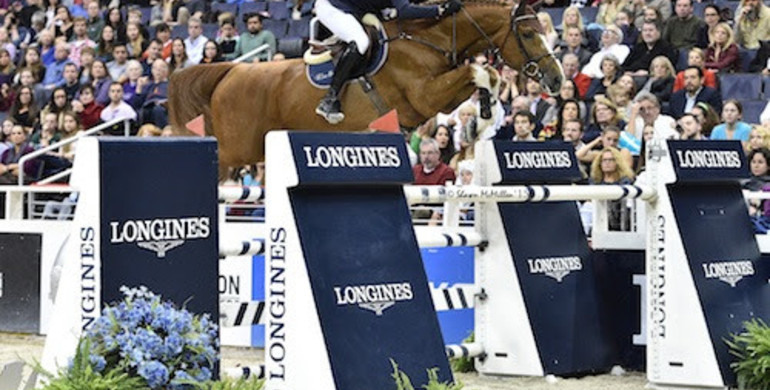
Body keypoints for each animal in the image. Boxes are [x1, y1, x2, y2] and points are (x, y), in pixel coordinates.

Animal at [170, 0, 564, 175]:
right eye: (528, 33)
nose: (557, 79)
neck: (432, 40)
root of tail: (231, 71)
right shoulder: (424, 96)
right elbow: (478, 72)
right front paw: (481, 118)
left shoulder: (433, 99)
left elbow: (487, 76)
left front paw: (480, 121)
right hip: (236, 150)